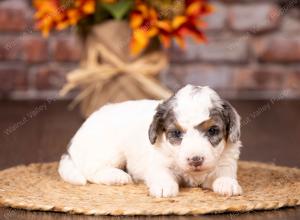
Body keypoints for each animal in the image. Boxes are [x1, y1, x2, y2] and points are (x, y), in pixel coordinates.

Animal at [58, 84, 241, 198]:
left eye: (212, 131)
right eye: (176, 133)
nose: (195, 160)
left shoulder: (226, 160)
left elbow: (224, 173)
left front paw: (227, 184)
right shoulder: (158, 161)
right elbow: (162, 172)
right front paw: (164, 186)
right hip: (110, 151)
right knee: (91, 170)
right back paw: (117, 176)